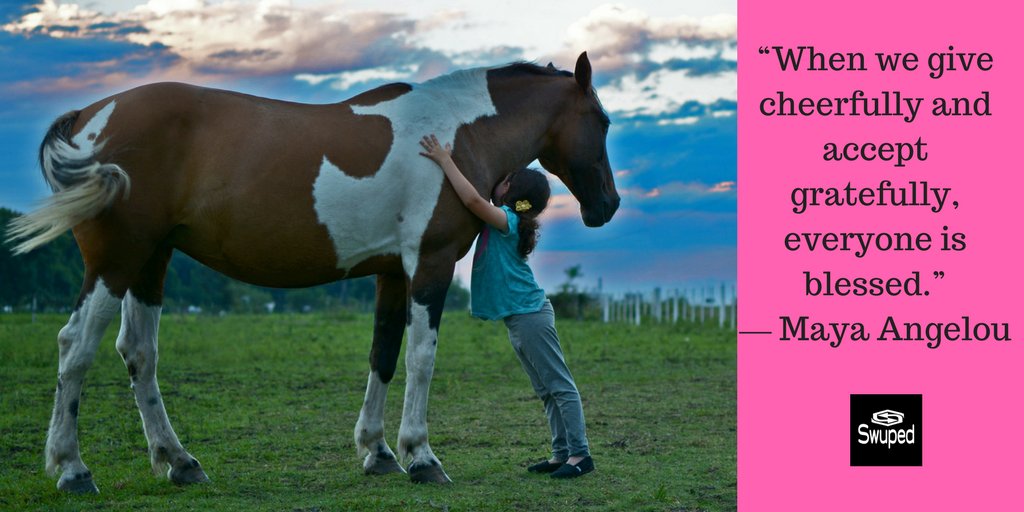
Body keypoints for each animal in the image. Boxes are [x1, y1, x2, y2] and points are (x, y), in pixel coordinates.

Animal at [7, 51, 619, 493]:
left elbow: (384, 356)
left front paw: (378, 452)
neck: (456, 134)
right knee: (76, 347)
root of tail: (91, 117)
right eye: (604, 121)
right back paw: (72, 469)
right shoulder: (431, 263)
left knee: (138, 353)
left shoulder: (392, 273)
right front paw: (421, 456)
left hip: (150, 261)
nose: (607, 206)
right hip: (117, 260)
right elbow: (421, 359)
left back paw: (179, 463)